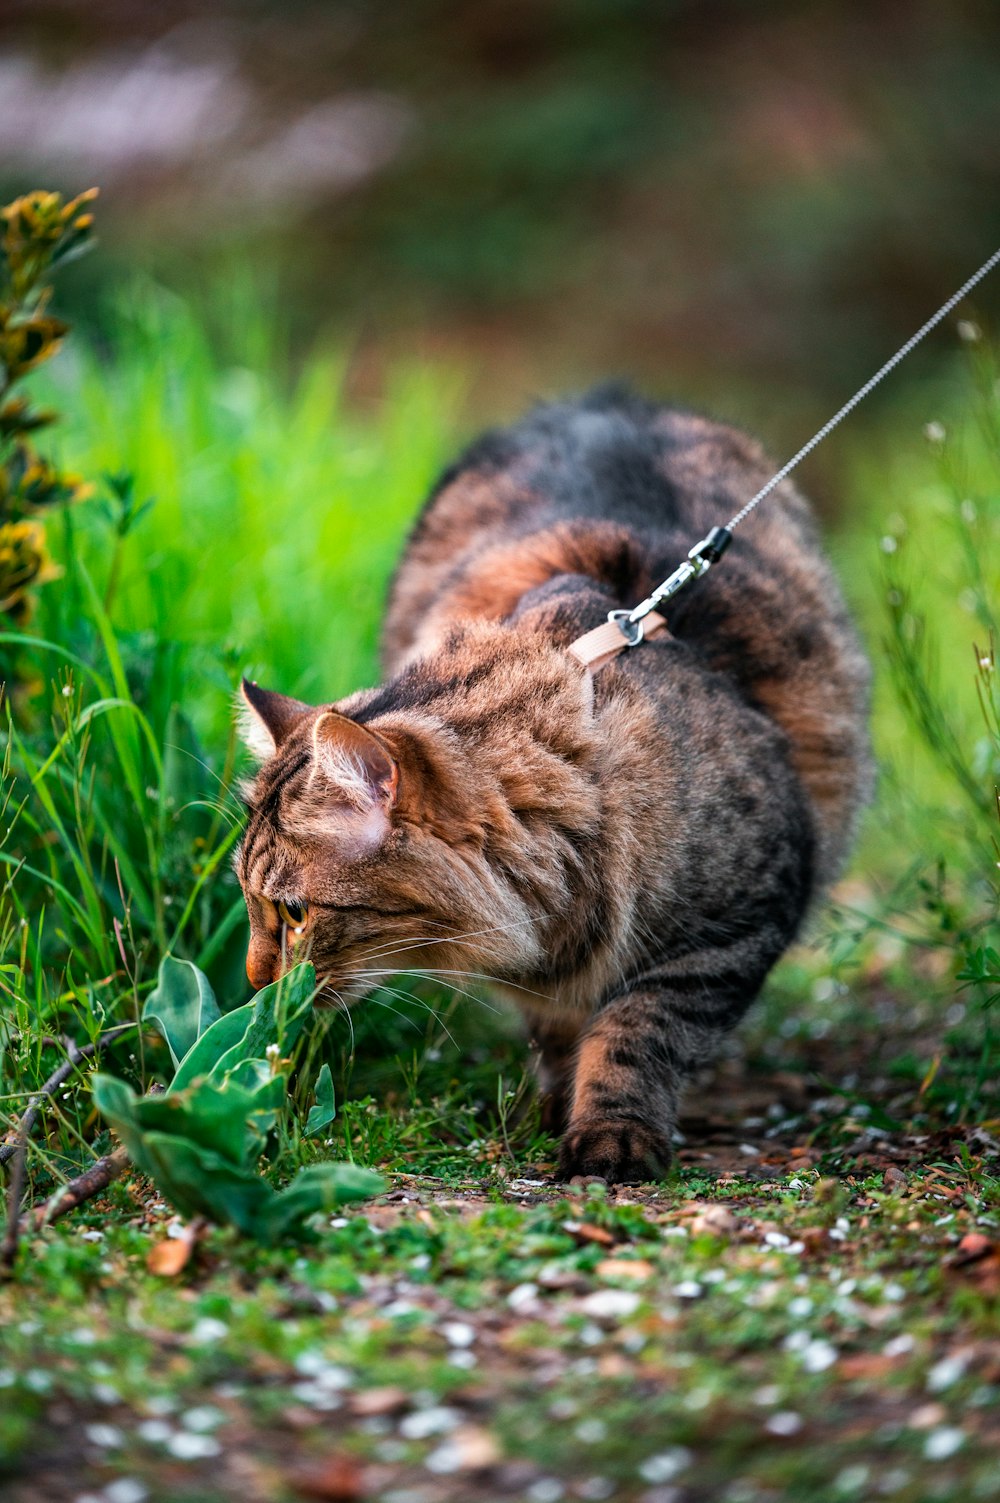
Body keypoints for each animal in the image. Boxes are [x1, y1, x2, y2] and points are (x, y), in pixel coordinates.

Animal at [234, 387, 866, 1184]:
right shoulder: (552, 969)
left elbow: (636, 1033)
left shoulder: (732, 930)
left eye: (293, 912)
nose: (255, 982)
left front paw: (611, 1133)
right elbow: (563, 1027)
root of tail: (604, 395)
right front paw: (558, 1103)